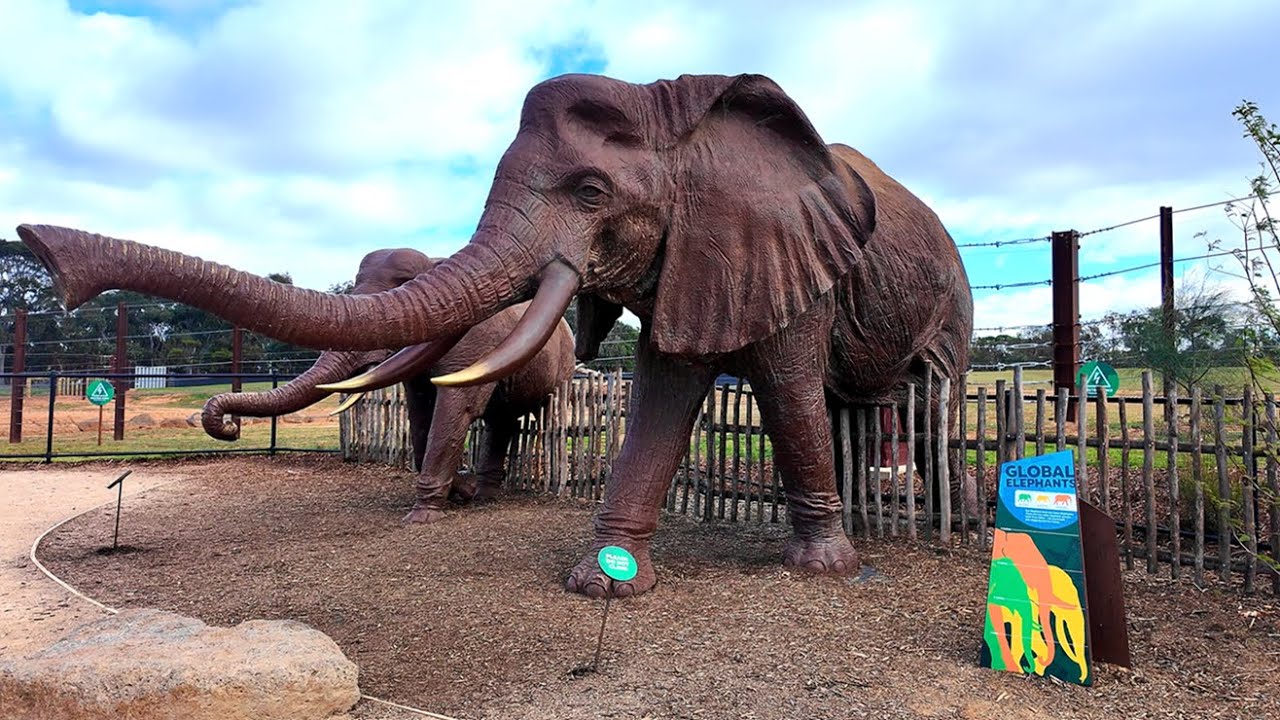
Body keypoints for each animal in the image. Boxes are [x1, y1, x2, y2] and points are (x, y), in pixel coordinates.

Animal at [201, 247, 576, 523]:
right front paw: (461, 492)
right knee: (502, 421)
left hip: (563, 365)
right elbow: (420, 412)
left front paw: (424, 516)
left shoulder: (475, 341)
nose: (230, 427)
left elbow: (457, 406)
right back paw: (483, 496)